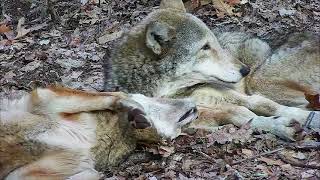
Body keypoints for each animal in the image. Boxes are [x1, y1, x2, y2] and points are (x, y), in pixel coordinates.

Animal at [0, 85, 196, 179]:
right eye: (160, 98)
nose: (195, 106)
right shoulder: (45, 99)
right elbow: (116, 96)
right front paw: (131, 108)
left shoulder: (20, 175)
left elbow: (93, 173)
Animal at [104, 0, 318, 140]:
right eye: (204, 47)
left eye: (214, 42)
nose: (245, 70)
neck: (173, 91)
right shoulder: (193, 116)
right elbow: (241, 116)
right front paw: (278, 125)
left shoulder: (232, 94)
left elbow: (264, 105)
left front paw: (311, 119)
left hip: (260, 83)